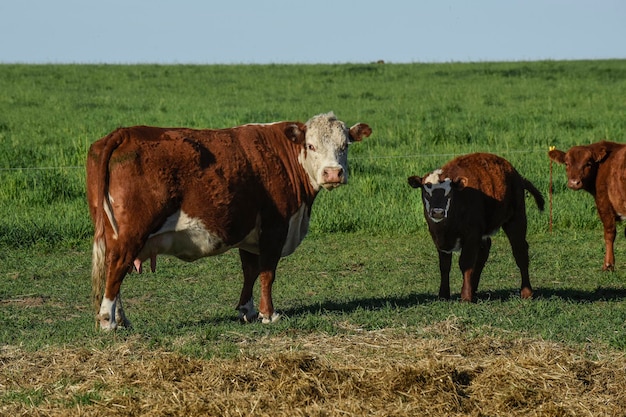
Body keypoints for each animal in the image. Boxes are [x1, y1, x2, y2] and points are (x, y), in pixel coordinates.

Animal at [88, 112, 370, 330]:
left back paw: (122, 320)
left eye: (345, 145)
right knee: (117, 266)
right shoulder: (275, 227)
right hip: (132, 232)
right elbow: (268, 273)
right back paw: (108, 321)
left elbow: (250, 271)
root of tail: (125, 133)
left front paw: (248, 310)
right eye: (311, 146)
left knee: (114, 270)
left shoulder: (251, 233)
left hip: (113, 232)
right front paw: (269, 314)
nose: (333, 173)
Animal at [408, 151, 544, 300]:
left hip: (516, 219)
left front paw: (466, 296)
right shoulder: (439, 238)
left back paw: (526, 292)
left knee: (520, 251)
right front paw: (443, 294)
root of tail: (517, 175)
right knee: (483, 253)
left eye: (449, 193)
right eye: (426, 191)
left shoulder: (472, 234)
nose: (438, 212)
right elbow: (444, 265)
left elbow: (466, 263)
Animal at [544, 140, 624, 270]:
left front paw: (608, 265)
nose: (574, 183)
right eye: (566, 163)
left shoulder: (604, 203)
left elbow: (609, 233)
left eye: (588, 164)